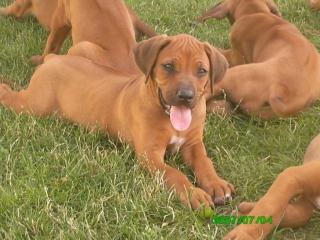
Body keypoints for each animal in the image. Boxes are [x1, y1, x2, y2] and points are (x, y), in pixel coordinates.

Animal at [0, 33, 235, 208]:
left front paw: (216, 184)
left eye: (202, 71)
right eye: (168, 66)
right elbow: (173, 173)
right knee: (9, 96)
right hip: (33, 105)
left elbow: (204, 162)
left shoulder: (193, 143)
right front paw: (194, 193)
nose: (186, 96)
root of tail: (53, 59)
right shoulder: (150, 155)